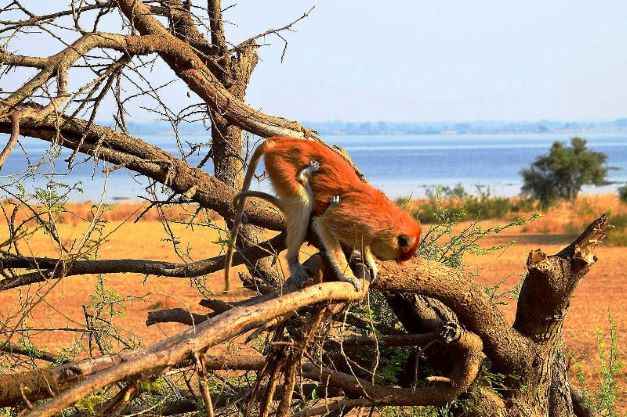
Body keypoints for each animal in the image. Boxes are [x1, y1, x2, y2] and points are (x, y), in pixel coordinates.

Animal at [222, 136, 422, 290]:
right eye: (396, 256)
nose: (382, 257)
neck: (387, 221)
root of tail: (280, 142)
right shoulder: (359, 221)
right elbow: (323, 224)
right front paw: (348, 276)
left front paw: (368, 260)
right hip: (280, 164)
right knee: (301, 203)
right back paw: (293, 261)